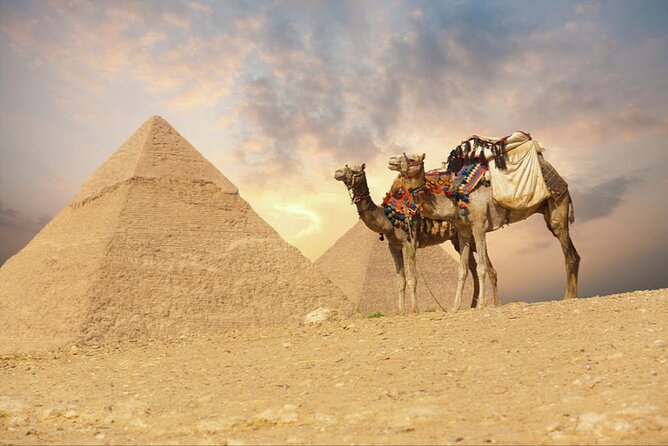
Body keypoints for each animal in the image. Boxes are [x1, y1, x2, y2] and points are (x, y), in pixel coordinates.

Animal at [334, 163, 483, 314]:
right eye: (346, 166)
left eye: (355, 170)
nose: (337, 172)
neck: (388, 218)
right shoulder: (393, 246)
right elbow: (400, 280)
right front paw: (400, 311)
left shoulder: (410, 241)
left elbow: (412, 277)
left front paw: (414, 309)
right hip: (458, 239)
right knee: (473, 266)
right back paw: (473, 304)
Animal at [388, 149, 579, 311]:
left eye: (412, 158)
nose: (391, 161)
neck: (454, 199)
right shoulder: (463, 231)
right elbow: (462, 269)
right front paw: (455, 307)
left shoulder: (479, 226)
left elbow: (481, 267)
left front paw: (481, 305)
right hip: (549, 214)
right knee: (574, 254)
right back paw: (573, 295)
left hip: (557, 208)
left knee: (568, 255)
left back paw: (568, 296)